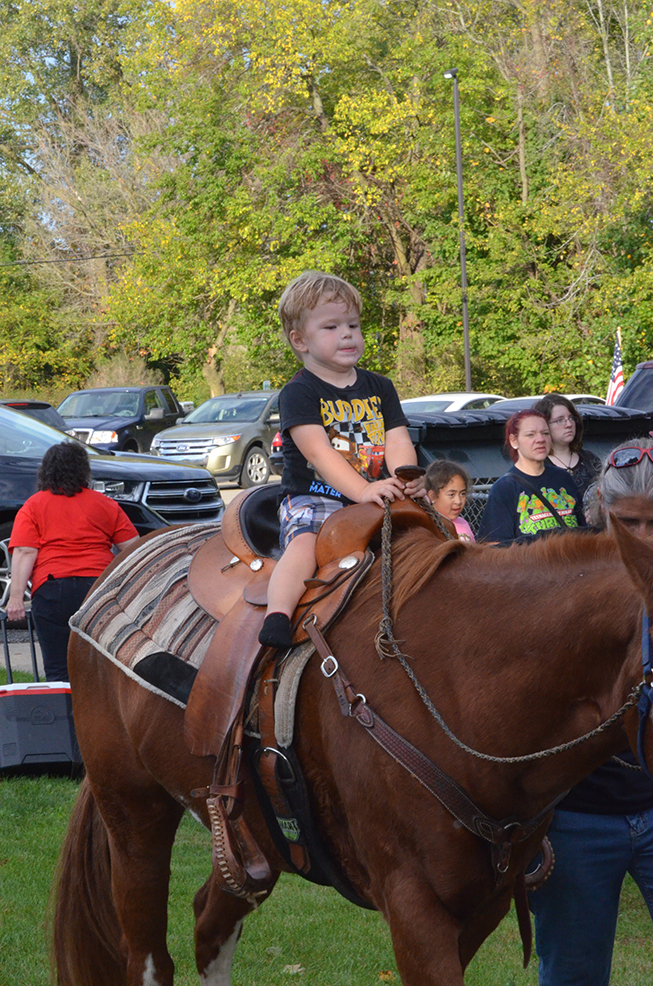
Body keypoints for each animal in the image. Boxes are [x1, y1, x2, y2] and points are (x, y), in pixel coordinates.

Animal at [53, 520, 652, 980]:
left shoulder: (486, 901)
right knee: (148, 957)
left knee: (208, 925)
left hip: (251, 841)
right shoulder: (415, 907)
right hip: (134, 815)